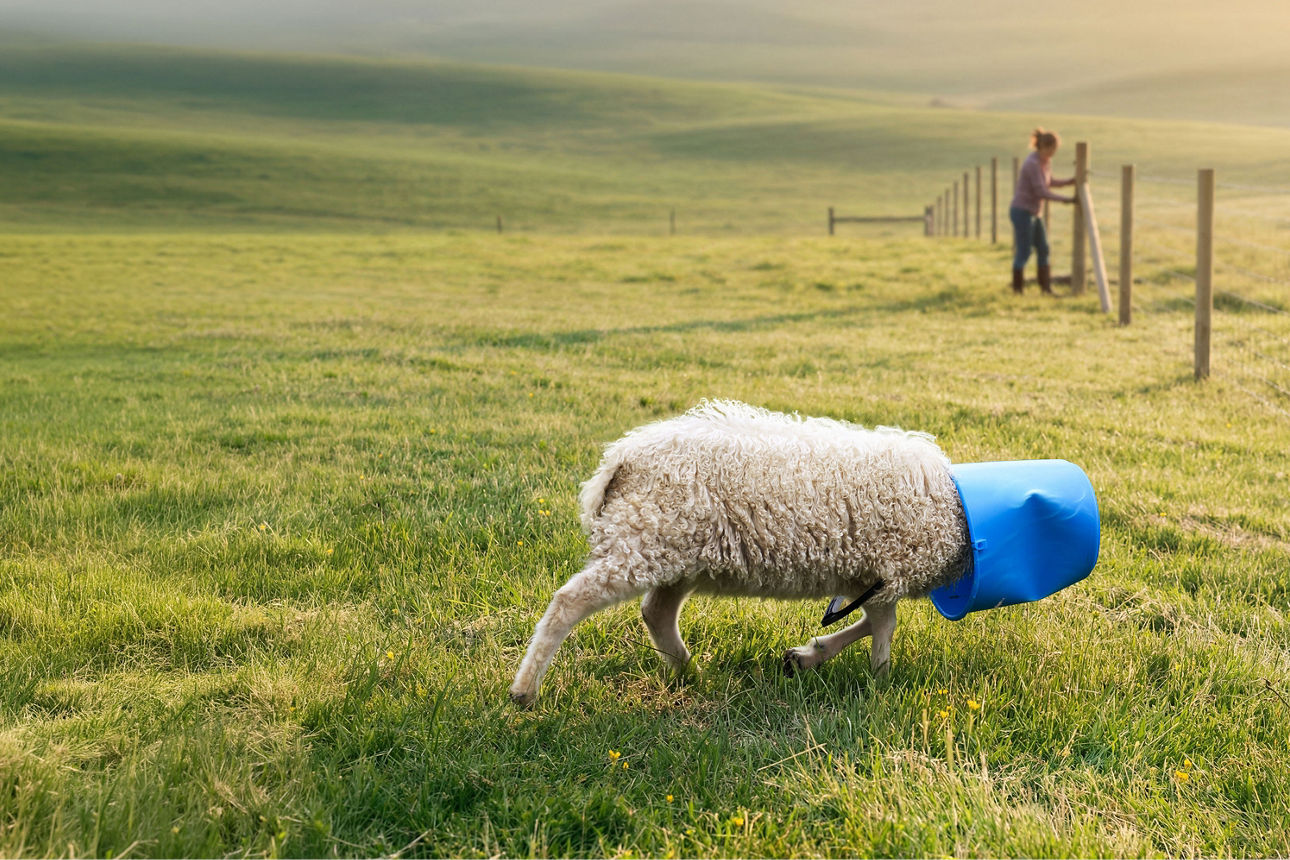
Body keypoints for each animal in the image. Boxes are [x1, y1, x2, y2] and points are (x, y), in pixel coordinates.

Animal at [509, 400, 970, 707]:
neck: (954, 512)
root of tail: (621, 459)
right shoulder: (884, 570)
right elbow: (884, 626)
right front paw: (880, 680)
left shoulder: (866, 578)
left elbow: (872, 622)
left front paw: (808, 656)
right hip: (644, 540)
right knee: (570, 600)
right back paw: (525, 690)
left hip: (676, 552)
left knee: (656, 612)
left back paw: (689, 671)